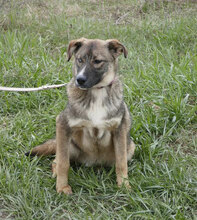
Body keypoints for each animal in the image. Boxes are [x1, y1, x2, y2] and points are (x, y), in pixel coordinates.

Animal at [25, 37, 135, 194]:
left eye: (97, 61)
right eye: (80, 59)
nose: (79, 79)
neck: (96, 93)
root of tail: (93, 162)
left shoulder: (119, 129)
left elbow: (121, 163)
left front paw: (124, 186)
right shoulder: (62, 124)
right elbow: (63, 163)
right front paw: (62, 187)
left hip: (130, 147)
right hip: (67, 144)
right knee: (56, 160)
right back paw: (56, 173)